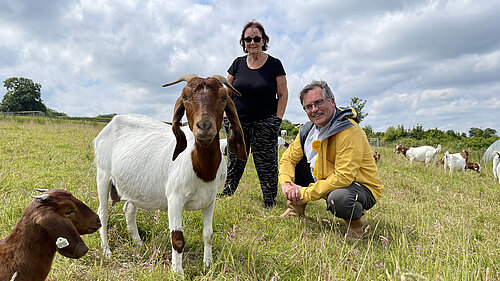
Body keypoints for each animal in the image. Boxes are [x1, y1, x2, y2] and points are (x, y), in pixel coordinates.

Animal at [93, 73, 246, 274]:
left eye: (223, 98)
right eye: (185, 97)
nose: (204, 127)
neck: (201, 169)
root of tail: (111, 123)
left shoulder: (210, 199)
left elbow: (208, 234)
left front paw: (208, 264)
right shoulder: (175, 198)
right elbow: (177, 238)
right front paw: (178, 272)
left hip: (134, 185)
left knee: (129, 209)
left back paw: (138, 243)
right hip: (103, 175)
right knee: (102, 213)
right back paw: (106, 250)